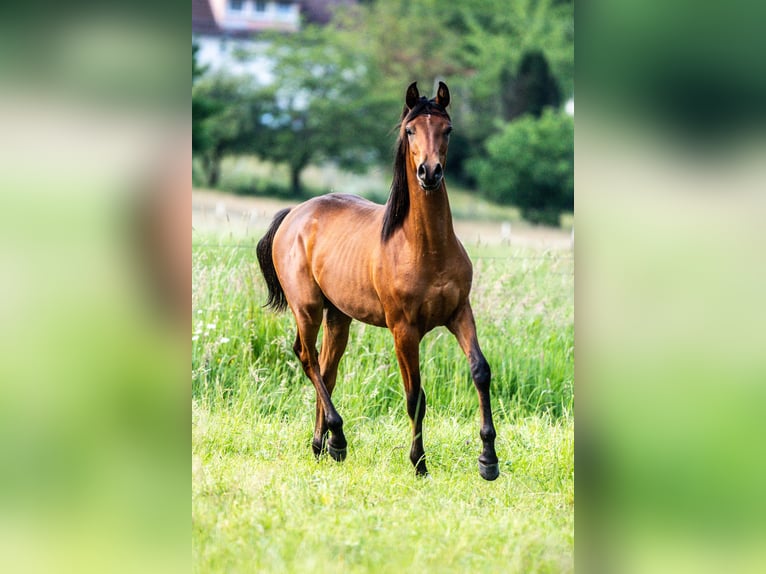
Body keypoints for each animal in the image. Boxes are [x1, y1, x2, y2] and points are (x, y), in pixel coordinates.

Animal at [255, 81, 500, 482]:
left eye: (447, 129)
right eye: (410, 130)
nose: (429, 173)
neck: (425, 247)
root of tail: (294, 214)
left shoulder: (460, 313)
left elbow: (480, 371)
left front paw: (488, 459)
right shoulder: (404, 330)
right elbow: (415, 396)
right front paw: (419, 463)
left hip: (338, 316)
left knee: (327, 370)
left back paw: (321, 446)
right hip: (307, 308)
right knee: (307, 358)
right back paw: (338, 440)